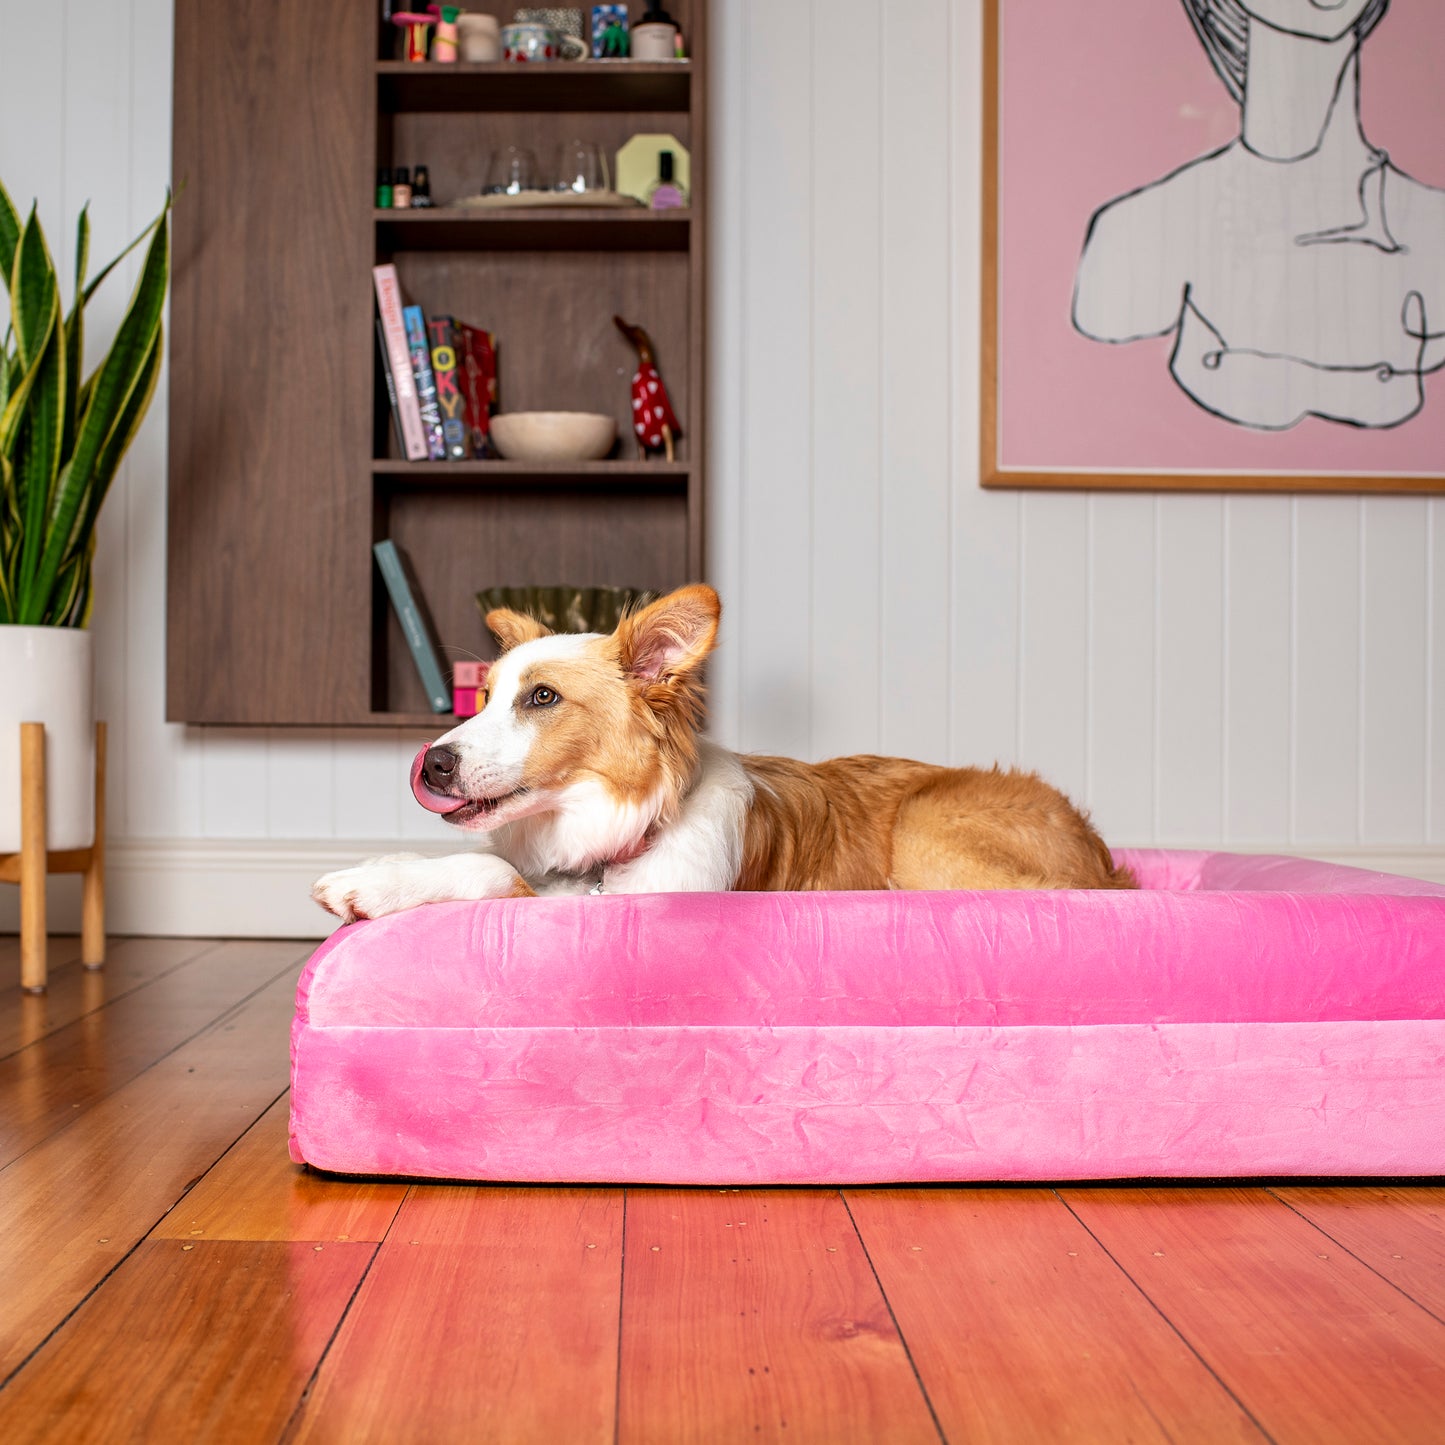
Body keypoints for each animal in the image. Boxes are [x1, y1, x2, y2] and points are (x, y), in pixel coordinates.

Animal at [310, 580, 1132, 919]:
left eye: (541, 698)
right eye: (480, 698)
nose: (431, 763)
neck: (620, 837)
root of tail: (1103, 854)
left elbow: (489, 869)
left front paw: (370, 885)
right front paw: (383, 870)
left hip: (928, 836)